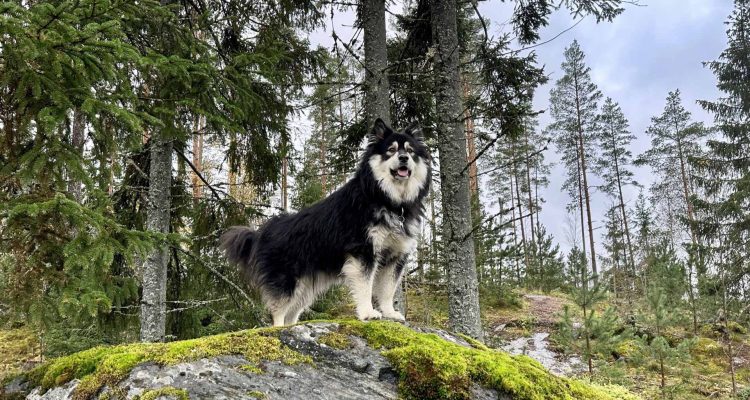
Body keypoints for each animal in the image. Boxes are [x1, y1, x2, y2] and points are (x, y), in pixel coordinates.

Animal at [220, 118, 428, 324]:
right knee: (278, 313)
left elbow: (388, 290)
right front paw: (368, 312)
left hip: (304, 290)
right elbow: (365, 288)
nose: (404, 158)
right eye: (391, 150)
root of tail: (261, 232)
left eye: (410, 151)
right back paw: (277, 329)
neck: (388, 200)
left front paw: (390, 313)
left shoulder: (395, 256)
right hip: (286, 281)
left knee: (291, 315)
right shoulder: (363, 252)